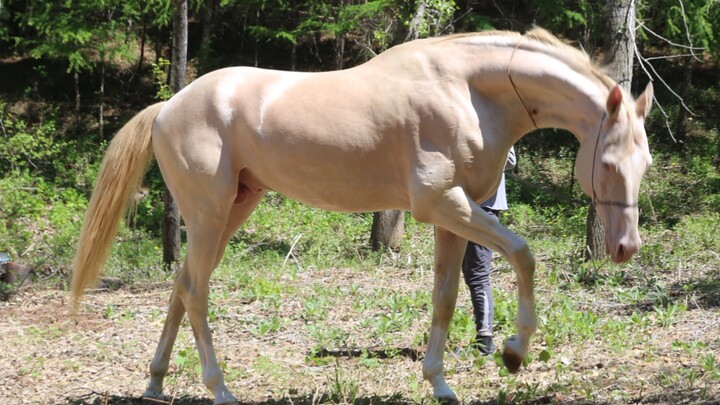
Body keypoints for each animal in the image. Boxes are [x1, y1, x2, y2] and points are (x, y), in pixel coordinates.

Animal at [71, 28, 653, 404]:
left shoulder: (453, 215)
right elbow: (523, 254)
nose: (626, 248)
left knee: (182, 285)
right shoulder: (444, 204)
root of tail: (167, 108)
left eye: (644, 162)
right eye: (607, 162)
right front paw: (514, 351)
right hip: (210, 213)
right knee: (195, 292)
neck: (469, 90)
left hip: (232, 208)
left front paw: (441, 383)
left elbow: (445, 297)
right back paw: (220, 390)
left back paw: (155, 383)